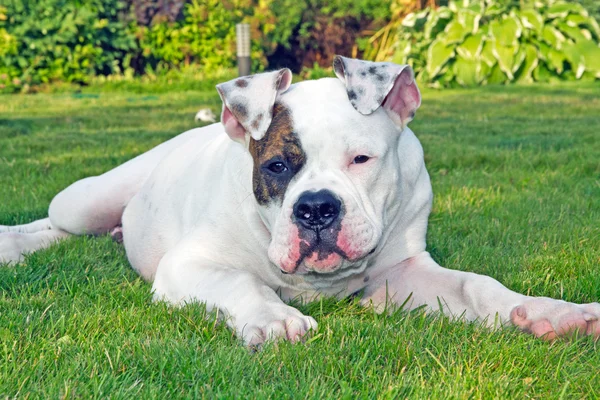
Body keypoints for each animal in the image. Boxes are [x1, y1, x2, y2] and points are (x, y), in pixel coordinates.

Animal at [1, 55, 600, 344]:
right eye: (276, 167)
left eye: (361, 159)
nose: (315, 209)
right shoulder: (186, 267)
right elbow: (238, 283)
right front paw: (272, 318)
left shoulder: (402, 275)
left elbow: (477, 286)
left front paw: (551, 314)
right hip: (85, 199)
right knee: (56, 225)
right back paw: (13, 244)